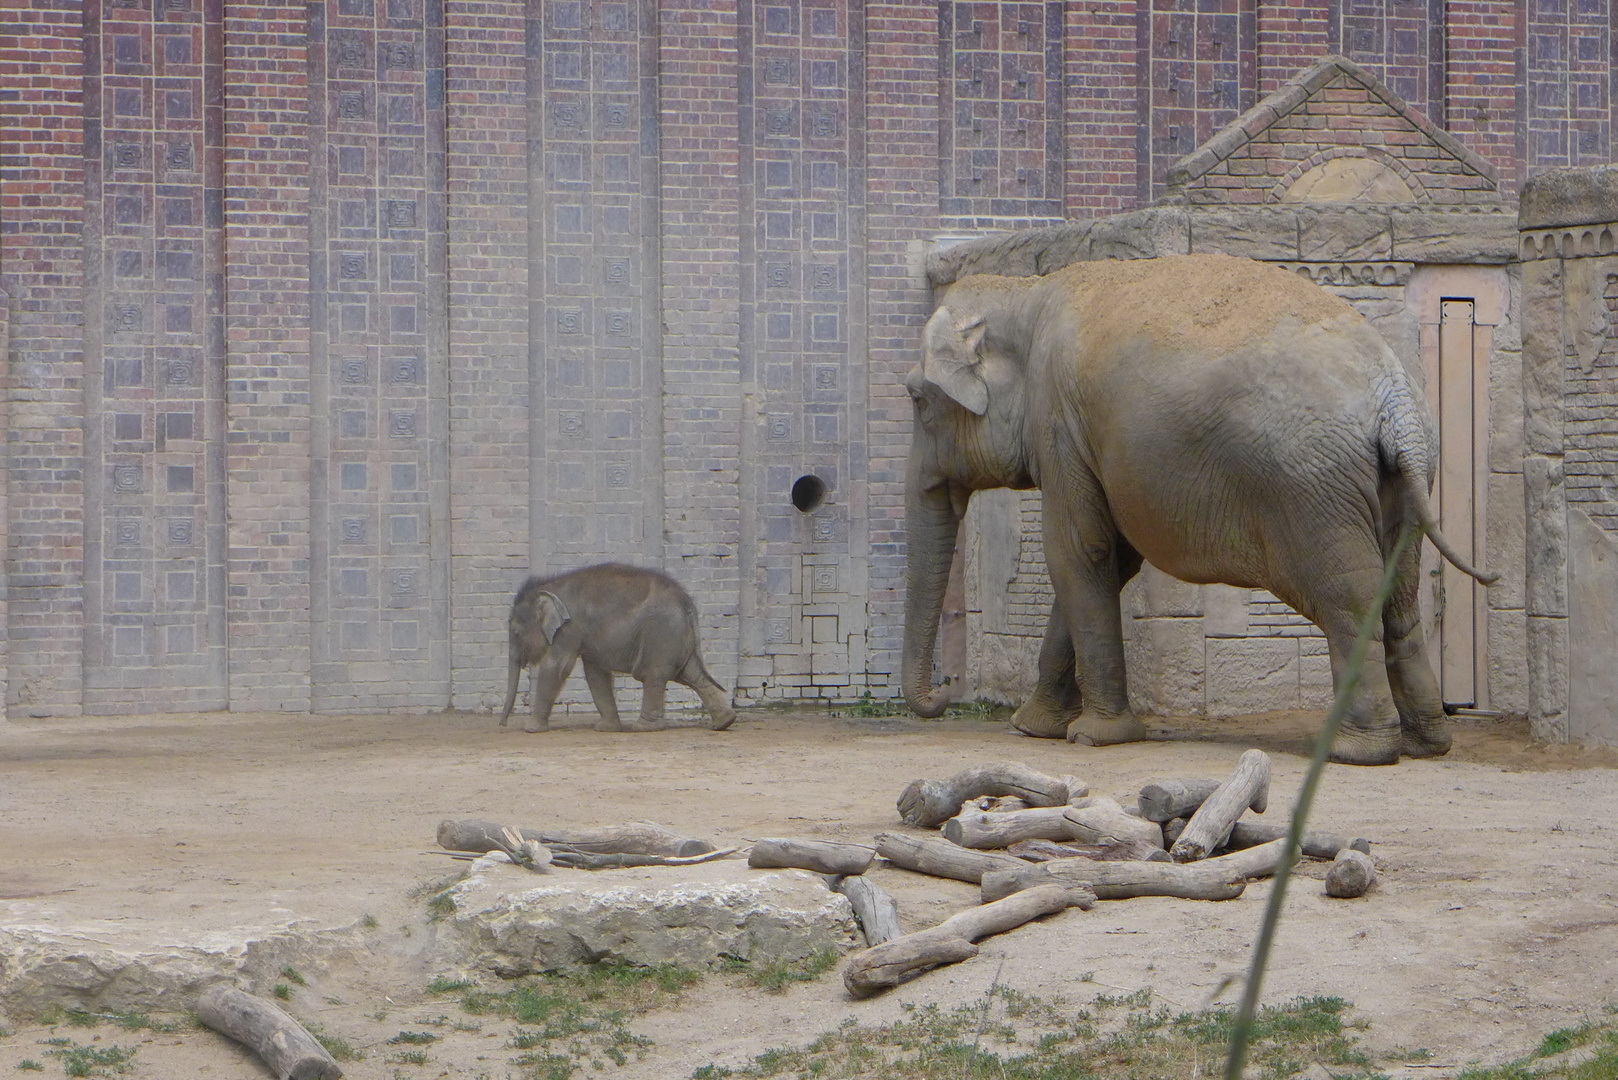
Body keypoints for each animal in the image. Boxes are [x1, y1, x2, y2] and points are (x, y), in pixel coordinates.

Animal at [498, 566, 741, 735]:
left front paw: (530, 729)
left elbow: (557, 667)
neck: (549, 586)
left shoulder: (569, 628)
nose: (503, 724)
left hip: (660, 634)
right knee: (691, 674)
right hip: (676, 637)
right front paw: (605, 728)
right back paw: (725, 722)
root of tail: (687, 602)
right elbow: (595, 673)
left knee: (654, 675)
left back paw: (643, 728)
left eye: (516, 633)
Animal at [906, 250, 1495, 767]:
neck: (1024, 292)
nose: (943, 692)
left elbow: (1078, 551)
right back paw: (1426, 744)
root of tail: (1394, 400)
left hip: (1313, 489)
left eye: (917, 397)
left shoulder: (1058, 422)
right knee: (1401, 597)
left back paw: (1357, 752)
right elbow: (1111, 559)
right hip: (1403, 483)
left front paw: (1092, 737)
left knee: (1351, 598)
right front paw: (1034, 728)